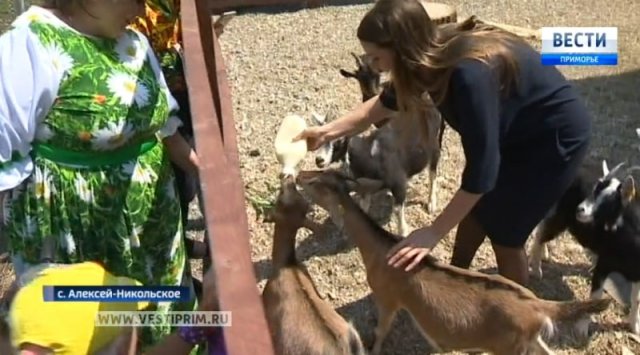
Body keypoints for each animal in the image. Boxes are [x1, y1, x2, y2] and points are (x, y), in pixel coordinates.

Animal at [298, 170, 612, 355]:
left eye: (316, 183)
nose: (299, 175)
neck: (378, 250)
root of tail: (537, 306)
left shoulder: (388, 298)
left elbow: (380, 331)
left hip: (508, 348)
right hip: (528, 341)